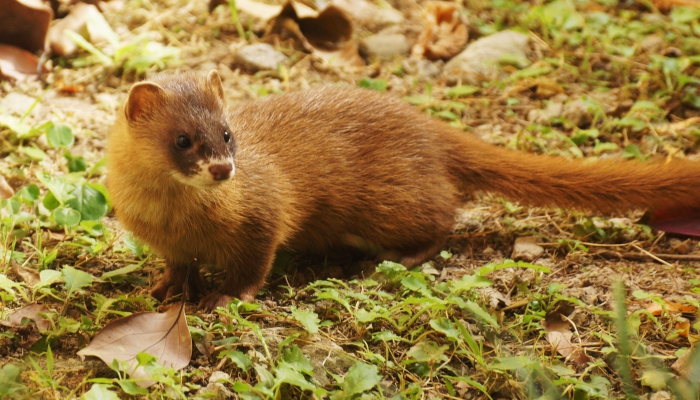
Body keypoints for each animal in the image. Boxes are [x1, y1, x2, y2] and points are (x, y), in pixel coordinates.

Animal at [106, 70, 700, 310]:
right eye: (183, 139)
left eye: (228, 132)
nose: (225, 169)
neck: (174, 219)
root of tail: (428, 126)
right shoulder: (165, 240)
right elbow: (177, 267)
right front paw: (161, 288)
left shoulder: (263, 218)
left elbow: (255, 264)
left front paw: (226, 296)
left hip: (388, 204)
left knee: (443, 219)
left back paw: (387, 261)